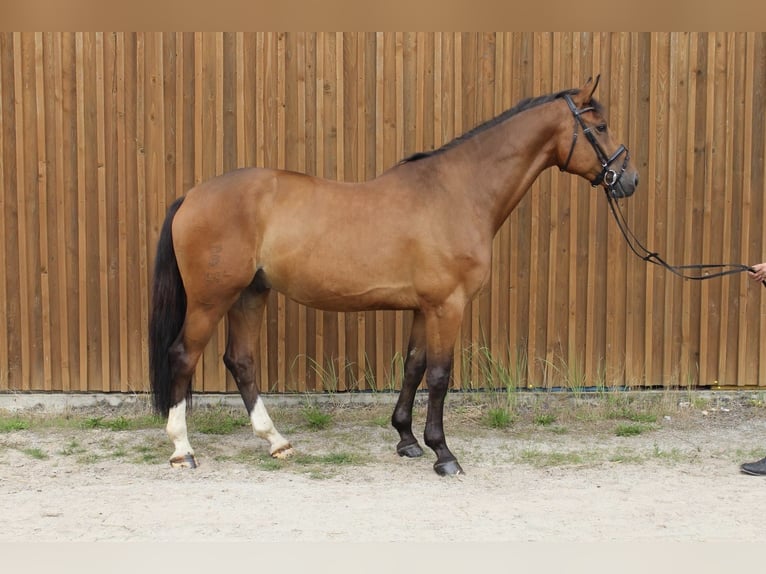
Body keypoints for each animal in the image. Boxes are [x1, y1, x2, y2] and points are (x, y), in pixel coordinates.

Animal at [149, 75, 639, 476]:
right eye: (599, 127)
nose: (627, 179)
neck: (457, 192)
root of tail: (192, 195)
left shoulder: (425, 307)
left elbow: (413, 366)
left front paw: (406, 439)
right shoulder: (448, 305)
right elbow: (439, 375)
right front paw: (444, 453)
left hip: (250, 293)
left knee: (241, 361)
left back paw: (276, 442)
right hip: (212, 299)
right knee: (183, 356)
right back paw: (183, 450)